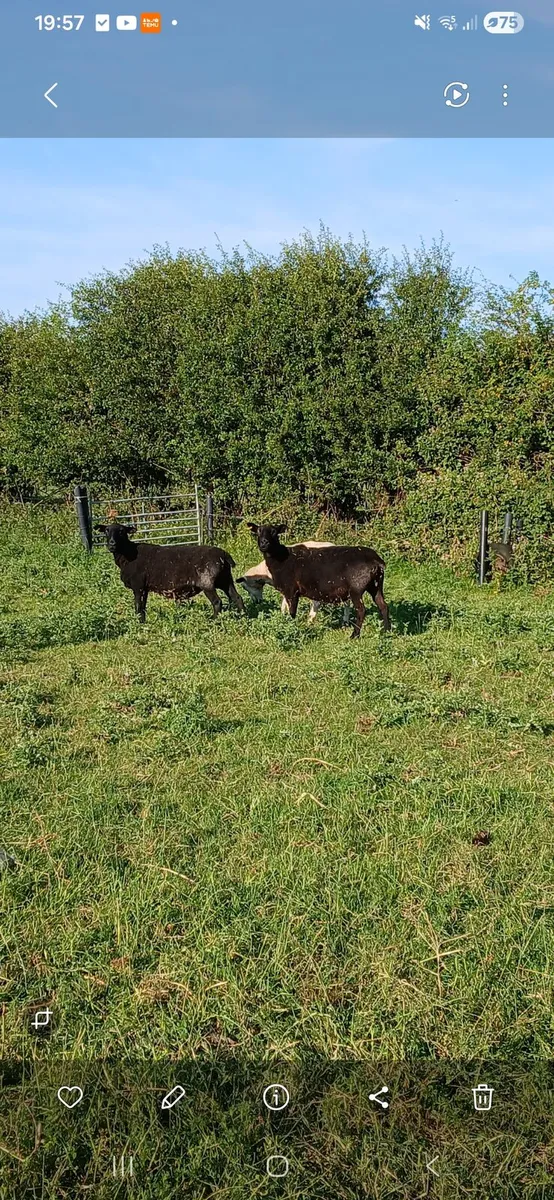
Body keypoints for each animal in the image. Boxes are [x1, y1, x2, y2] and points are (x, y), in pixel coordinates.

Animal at [95, 523, 245, 622]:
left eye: (122, 531)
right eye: (106, 531)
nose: (112, 544)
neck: (128, 554)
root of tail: (224, 555)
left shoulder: (138, 586)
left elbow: (138, 606)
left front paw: (139, 623)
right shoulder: (145, 588)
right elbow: (143, 606)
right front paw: (143, 622)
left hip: (207, 582)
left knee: (217, 602)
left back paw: (213, 620)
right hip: (225, 579)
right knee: (237, 597)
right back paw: (243, 616)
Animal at [247, 523, 390, 639]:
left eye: (274, 532)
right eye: (258, 531)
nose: (264, 543)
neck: (280, 557)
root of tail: (377, 562)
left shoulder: (291, 590)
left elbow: (292, 611)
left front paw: (292, 626)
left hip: (356, 589)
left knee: (361, 610)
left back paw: (354, 635)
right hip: (376, 586)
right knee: (383, 606)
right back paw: (386, 631)